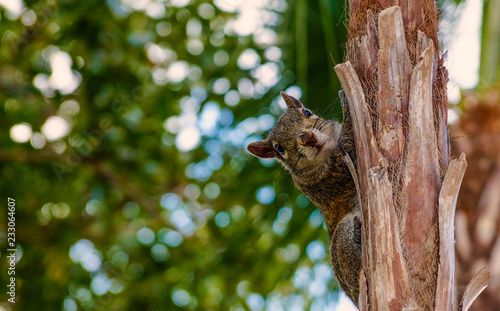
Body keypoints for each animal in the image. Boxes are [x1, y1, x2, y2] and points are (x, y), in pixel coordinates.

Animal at [247, 90, 362, 308]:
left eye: (307, 112)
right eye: (279, 149)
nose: (306, 137)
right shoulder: (332, 175)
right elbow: (350, 143)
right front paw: (346, 104)